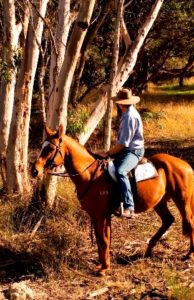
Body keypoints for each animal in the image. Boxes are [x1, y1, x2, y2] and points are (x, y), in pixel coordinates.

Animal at [31, 123, 194, 274]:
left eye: (50, 149)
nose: (35, 171)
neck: (91, 174)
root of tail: (186, 165)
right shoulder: (99, 215)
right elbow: (103, 239)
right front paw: (103, 264)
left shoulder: (101, 215)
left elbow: (103, 239)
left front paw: (103, 269)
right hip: (159, 202)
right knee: (168, 220)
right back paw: (148, 250)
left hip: (182, 201)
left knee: (189, 222)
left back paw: (189, 255)